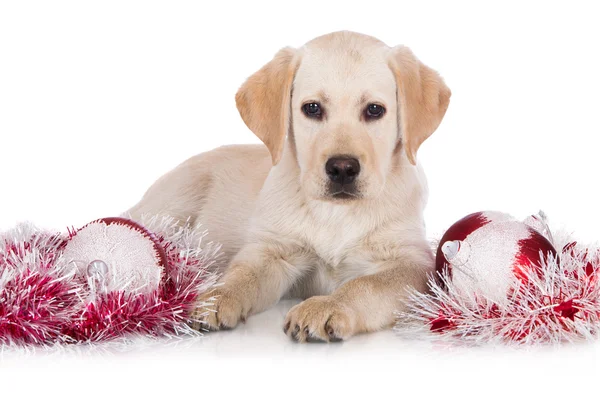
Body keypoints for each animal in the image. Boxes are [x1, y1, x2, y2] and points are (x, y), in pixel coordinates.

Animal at [130, 31, 450, 342]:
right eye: (312, 108)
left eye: (374, 110)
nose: (342, 169)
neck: (335, 212)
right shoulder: (274, 251)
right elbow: (243, 273)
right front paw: (218, 296)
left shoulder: (412, 263)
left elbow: (367, 284)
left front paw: (328, 305)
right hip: (174, 201)